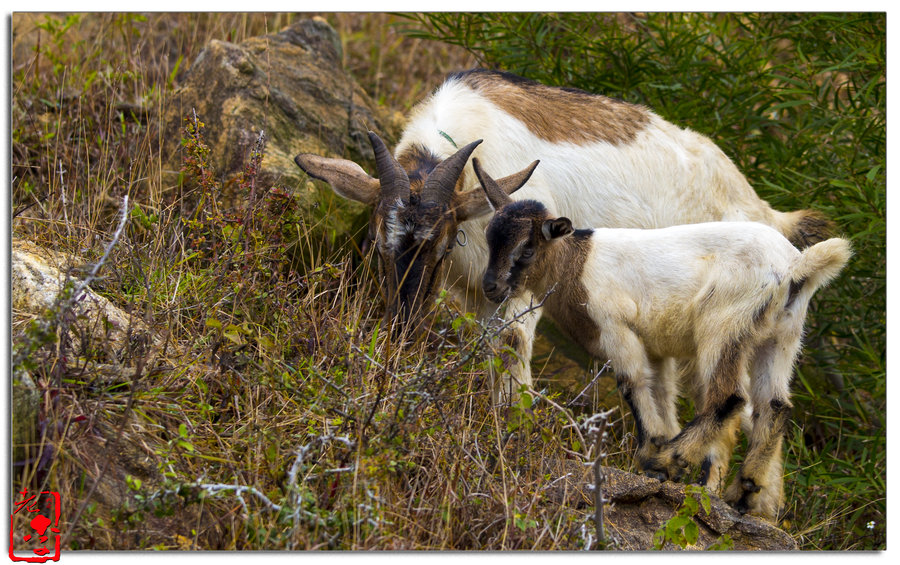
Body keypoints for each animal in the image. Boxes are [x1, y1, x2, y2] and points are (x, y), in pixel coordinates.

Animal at [294, 68, 828, 390]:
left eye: (443, 249)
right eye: (375, 245)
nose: (401, 329)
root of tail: (766, 213)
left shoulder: (519, 289)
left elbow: (511, 356)